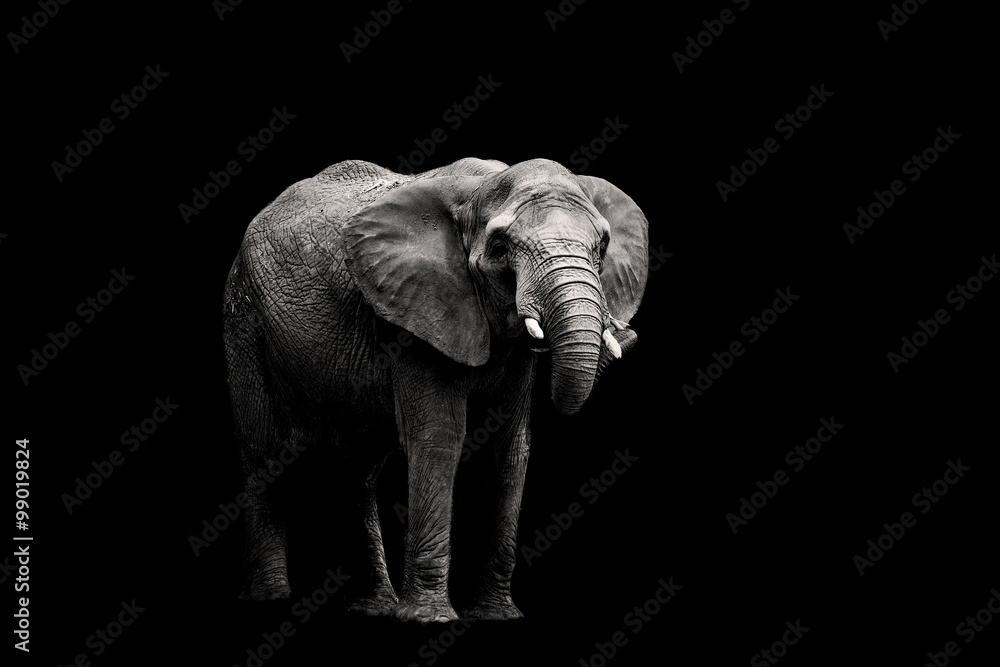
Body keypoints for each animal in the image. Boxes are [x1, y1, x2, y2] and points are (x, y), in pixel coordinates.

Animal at [222, 156, 649, 622]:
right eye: (501, 248)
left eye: (602, 248)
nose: (625, 334)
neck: (480, 188)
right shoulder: (414, 313)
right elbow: (438, 439)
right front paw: (429, 619)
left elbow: (509, 447)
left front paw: (496, 616)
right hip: (243, 320)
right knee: (265, 455)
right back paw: (270, 600)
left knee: (358, 468)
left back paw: (373, 607)